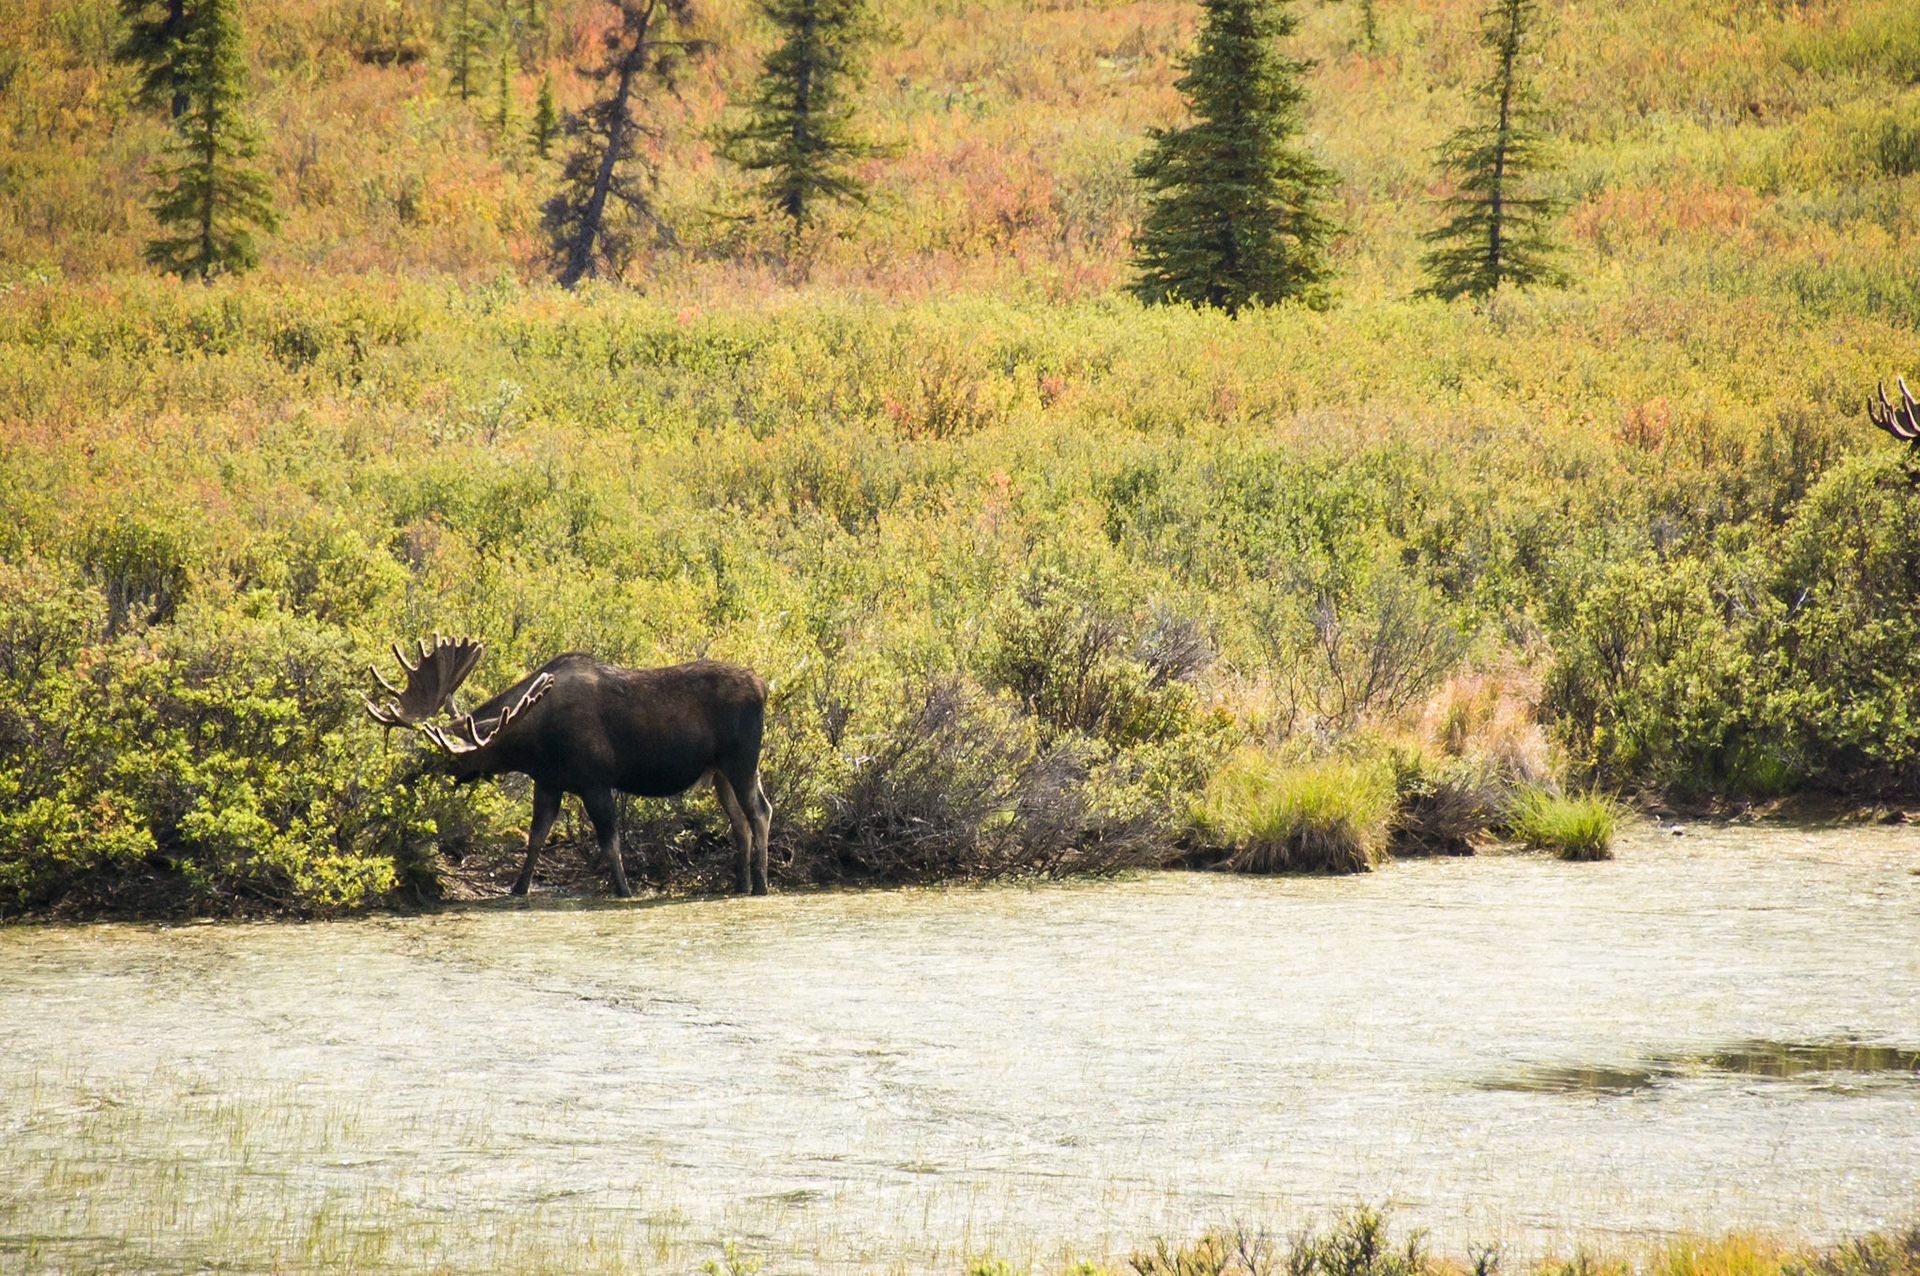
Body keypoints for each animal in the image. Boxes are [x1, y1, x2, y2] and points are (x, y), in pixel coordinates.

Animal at [364, 636, 773, 897]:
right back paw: (741, 884)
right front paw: (518, 888)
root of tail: (764, 685)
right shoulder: (548, 782)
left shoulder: (595, 781)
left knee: (760, 811)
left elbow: (609, 841)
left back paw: (761, 884)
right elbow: (536, 838)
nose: (407, 778)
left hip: (742, 760)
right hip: (719, 771)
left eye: (443, 753)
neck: (533, 743)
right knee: (740, 821)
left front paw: (624, 890)